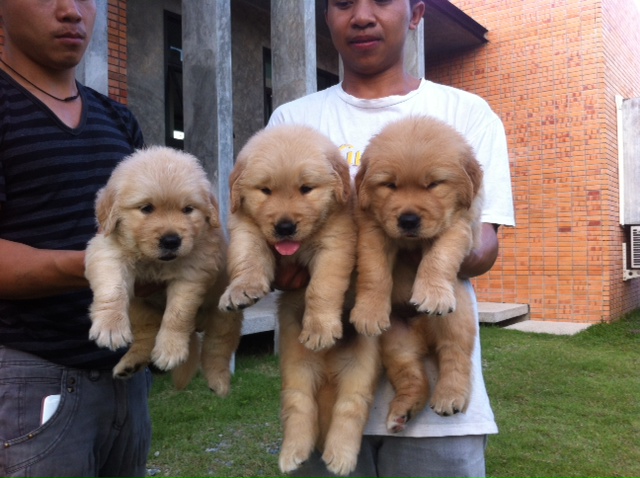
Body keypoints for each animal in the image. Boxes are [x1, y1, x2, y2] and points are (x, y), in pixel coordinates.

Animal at [85, 146, 242, 396]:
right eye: (146, 208)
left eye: (188, 209)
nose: (171, 241)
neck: (156, 262)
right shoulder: (107, 252)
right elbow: (112, 290)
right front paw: (110, 326)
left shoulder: (193, 272)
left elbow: (178, 313)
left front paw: (170, 350)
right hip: (140, 310)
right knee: (146, 335)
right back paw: (130, 364)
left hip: (224, 316)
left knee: (216, 349)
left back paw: (219, 382)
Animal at [220, 125, 379, 475]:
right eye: (265, 190)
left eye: (306, 189)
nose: (284, 226)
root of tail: (328, 373)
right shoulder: (245, 226)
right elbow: (247, 257)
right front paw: (240, 289)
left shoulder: (337, 243)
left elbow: (322, 287)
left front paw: (320, 328)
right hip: (296, 367)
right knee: (298, 402)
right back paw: (293, 452)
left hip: (362, 368)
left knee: (351, 406)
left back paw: (340, 456)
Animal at [351, 116, 484, 432]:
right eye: (390, 185)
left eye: (433, 184)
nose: (408, 220)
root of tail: (423, 337)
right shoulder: (372, 229)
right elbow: (374, 270)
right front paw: (369, 312)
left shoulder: (459, 225)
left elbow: (439, 256)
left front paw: (432, 294)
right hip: (395, 342)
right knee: (413, 376)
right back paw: (404, 411)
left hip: (457, 317)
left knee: (455, 356)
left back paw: (450, 395)